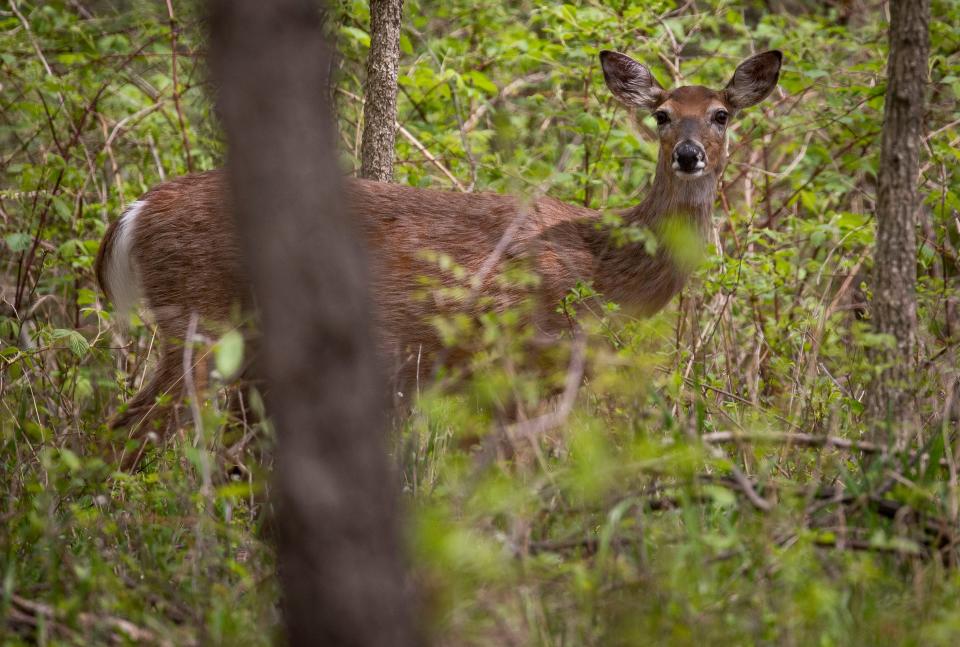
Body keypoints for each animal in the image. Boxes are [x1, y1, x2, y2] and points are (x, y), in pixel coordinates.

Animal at [95, 50, 780, 460]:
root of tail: (136, 211)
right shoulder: (515, 358)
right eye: (661, 115)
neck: (603, 267)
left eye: (721, 114)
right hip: (199, 320)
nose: (689, 155)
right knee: (130, 428)